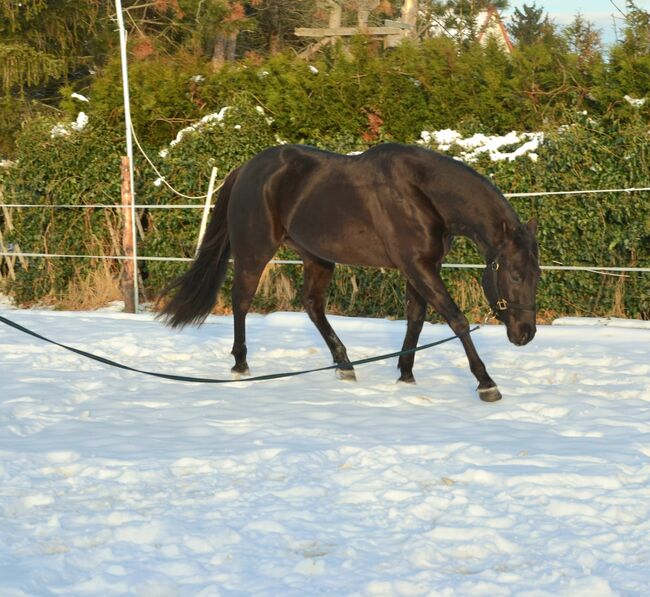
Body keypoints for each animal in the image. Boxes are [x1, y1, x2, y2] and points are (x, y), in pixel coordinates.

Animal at [159, 143, 540, 400]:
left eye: (537, 275)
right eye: (515, 275)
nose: (525, 334)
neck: (422, 192)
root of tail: (247, 169)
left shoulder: (421, 267)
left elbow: (416, 319)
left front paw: (405, 375)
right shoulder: (418, 266)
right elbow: (456, 319)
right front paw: (486, 383)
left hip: (317, 257)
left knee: (312, 306)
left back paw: (344, 365)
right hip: (254, 253)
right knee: (241, 301)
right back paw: (241, 365)